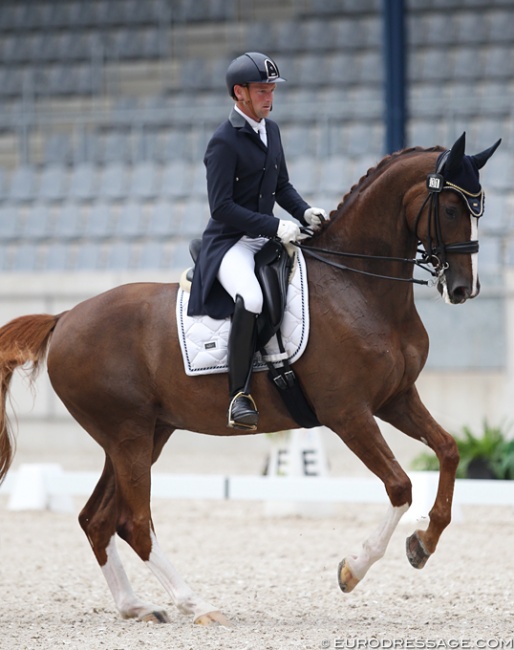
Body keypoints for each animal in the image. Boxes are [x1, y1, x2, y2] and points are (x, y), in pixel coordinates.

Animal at [0, 132, 498, 624]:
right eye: (451, 210)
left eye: (480, 209)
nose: (464, 289)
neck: (358, 287)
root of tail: (64, 317)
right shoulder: (348, 413)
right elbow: (399, 486)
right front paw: (353, 569)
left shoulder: (396, 399)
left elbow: (449, 451)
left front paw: (423, 543)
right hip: (128, 436)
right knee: (135, 524)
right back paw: (197, 604)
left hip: (143, 434)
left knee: (98, 519)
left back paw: (136, 606)